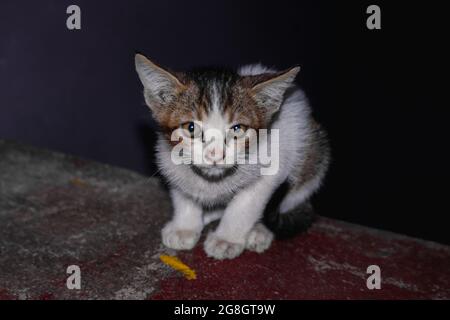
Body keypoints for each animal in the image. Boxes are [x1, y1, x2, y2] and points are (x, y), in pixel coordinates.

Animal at [134, 53, 330, 260]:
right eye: (191, 128)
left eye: (237, 129)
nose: (215, 154)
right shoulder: (168, 159)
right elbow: (183, 191)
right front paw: (185, 226)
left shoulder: (274, 165)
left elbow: (245, 205)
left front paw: (226, 239)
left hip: (312, 155)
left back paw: (259, 230)